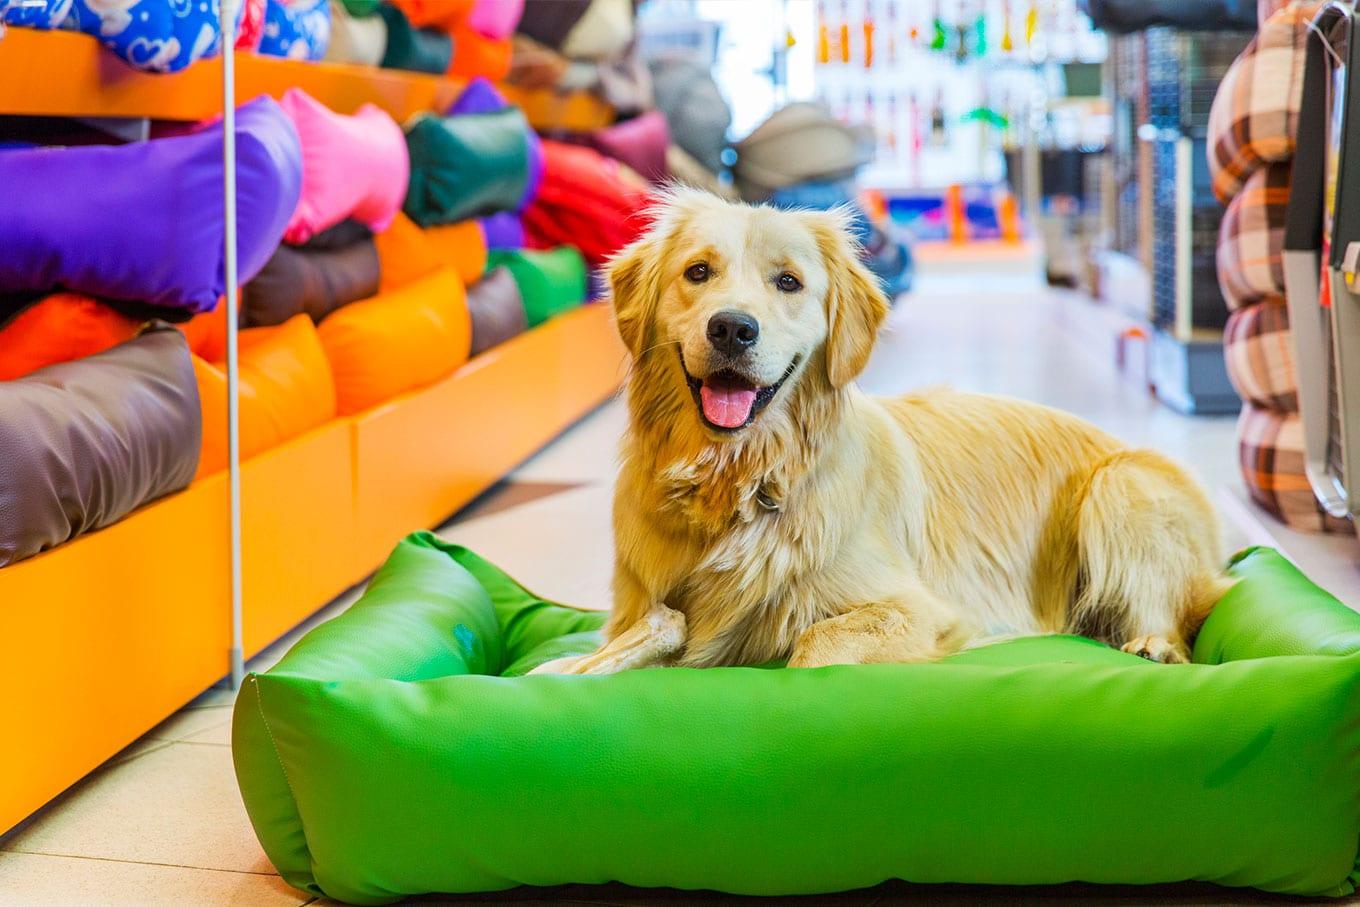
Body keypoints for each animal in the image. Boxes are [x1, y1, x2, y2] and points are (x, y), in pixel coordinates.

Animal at [530, 190, 1234, 674]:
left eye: (788, 282)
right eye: (697, 272)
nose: (732, 327)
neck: (741, 478)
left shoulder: (924, 610)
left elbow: (813, 643)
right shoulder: (630, 612)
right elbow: (620, 643)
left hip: (1121, 487)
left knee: (1175, 617)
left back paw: (1153, 644)